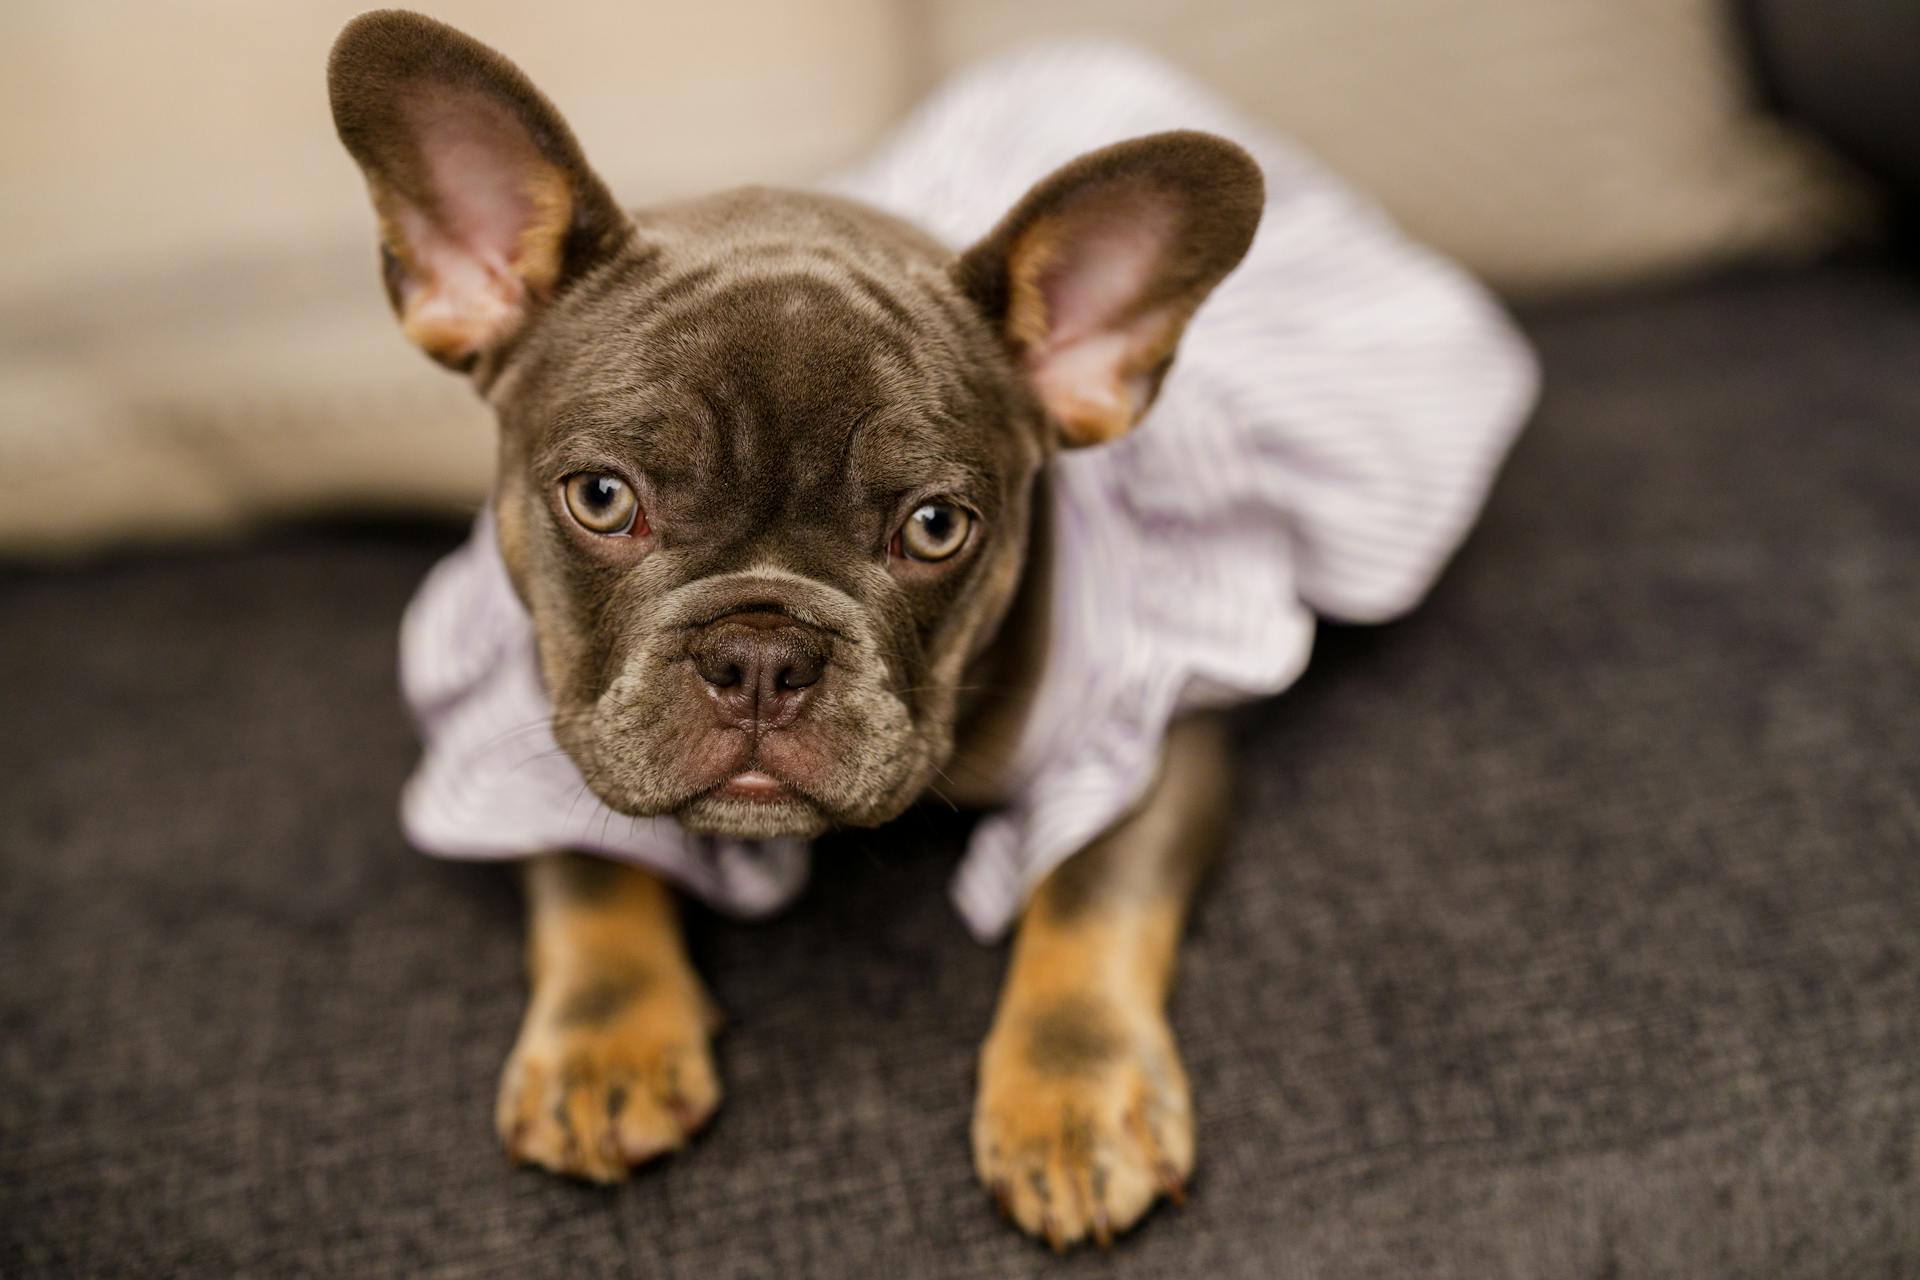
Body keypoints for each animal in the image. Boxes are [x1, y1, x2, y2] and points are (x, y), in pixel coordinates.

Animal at [326, 10, 1259, 1251]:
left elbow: (1089, 886)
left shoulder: (1148, 730)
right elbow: (584, 860)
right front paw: (603, 1044)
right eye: (603, 498)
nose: (763, 654)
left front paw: (1071, 1099)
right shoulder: (514, 712)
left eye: (935, 526)